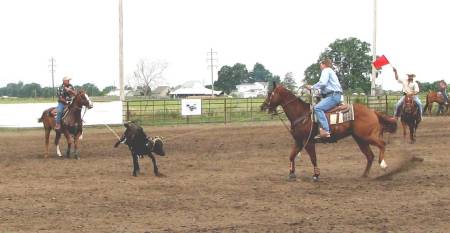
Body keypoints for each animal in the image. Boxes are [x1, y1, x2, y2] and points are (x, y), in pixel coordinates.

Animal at [260, 83, 398, 180]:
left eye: (270, 93)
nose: (263, 107)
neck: (302, 114)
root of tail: (372, 111)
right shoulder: (298, 142)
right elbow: (291, 156)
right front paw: (291, 173)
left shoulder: (308, 142)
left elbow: (313, 158)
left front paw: (316, 175)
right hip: (360, 139)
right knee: (370, 156)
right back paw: (364, 175)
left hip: (367, 136)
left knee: (382, 144)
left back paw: (383, 164)